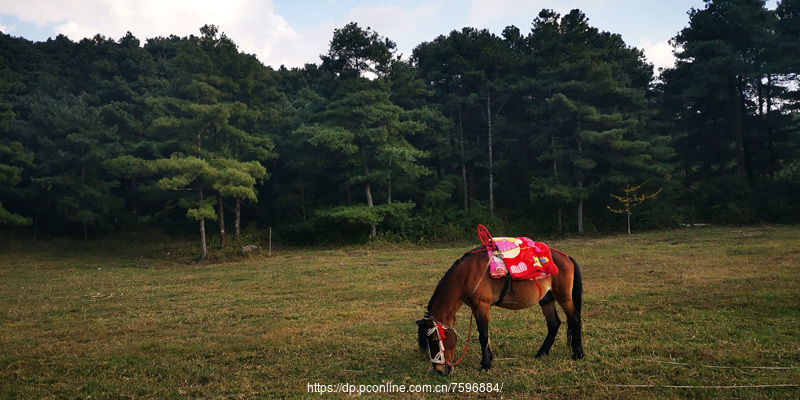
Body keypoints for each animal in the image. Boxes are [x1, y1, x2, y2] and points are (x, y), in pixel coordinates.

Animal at [416, 247, 584, 376]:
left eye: (434, 341)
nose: (439, 371)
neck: (467, 275)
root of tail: (566, 256)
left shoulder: (481, 306)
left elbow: (483, 336)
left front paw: (485, 364)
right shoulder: (477, 308)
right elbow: (486, 335)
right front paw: (489, 358)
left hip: (563, 297)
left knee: (574, 319)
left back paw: (578, 354)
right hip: (546, 299)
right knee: (553, 324)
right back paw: (541, 353)